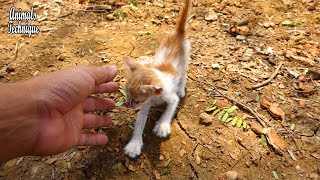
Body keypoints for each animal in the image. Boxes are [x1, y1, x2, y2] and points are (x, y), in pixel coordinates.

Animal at [124, 0, 191, 158]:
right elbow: (139, 125)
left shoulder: (171, 98)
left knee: (184, 73)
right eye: (127, 95)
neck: (155, 97)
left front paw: (162, 125)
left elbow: (169, 110)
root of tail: (178, 33)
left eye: (137, 100)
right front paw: (134, 145)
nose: (127, 105)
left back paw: (181, 88)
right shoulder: (145, 106)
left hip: (185, 59)